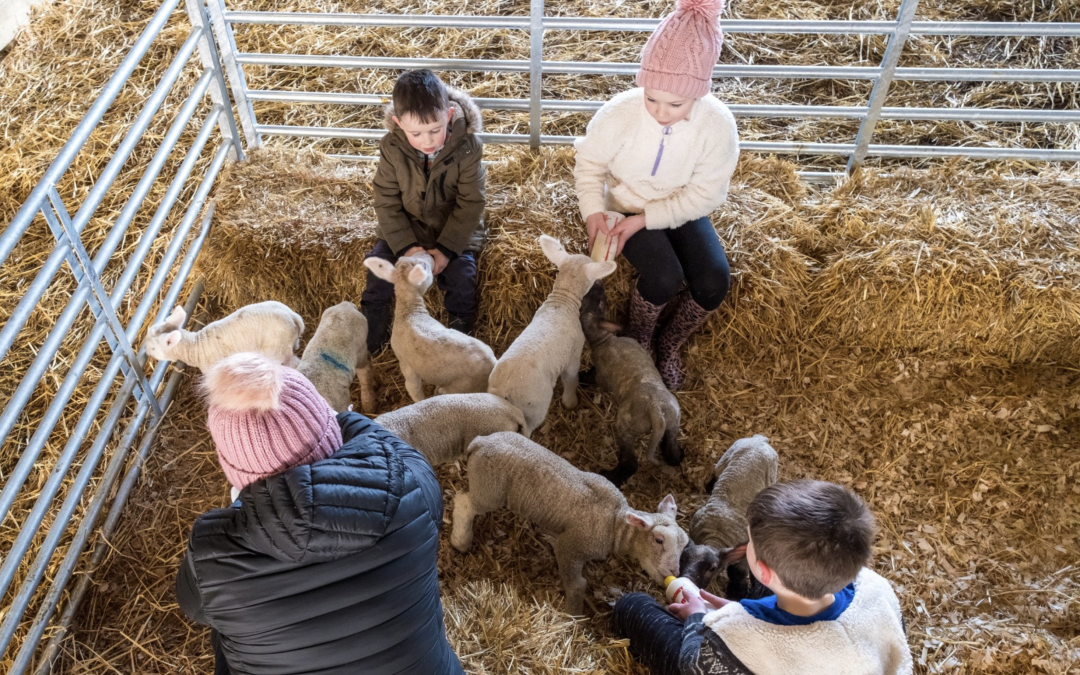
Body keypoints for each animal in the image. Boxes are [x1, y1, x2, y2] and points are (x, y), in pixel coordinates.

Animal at [142, 302, 304, 373]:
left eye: (153, 348)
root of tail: (293, 317)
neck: (195, 348)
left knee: (295, 364)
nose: (146, 351)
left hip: (277, 349)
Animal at [365, 251, 494, 399]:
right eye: (425, 267)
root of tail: (493, 364)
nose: (427, 252)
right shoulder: (405, 363)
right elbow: (413, 387)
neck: (409, 311)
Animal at [449, 432, 686, 617]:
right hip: (489, 490)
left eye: (684, 545)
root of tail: (480, 441)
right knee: (463, 503)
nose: (674, 571)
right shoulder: (571, 548)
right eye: (658, 540)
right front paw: (574, 616)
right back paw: (460, 541)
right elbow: (577, 584)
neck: (613, 522)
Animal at [490, 236, 617, 434]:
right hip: (534, 408)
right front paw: (570, 402)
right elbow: (571, 379)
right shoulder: (574, 354)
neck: (561, 302)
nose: (601, 284)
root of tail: (503, 389)